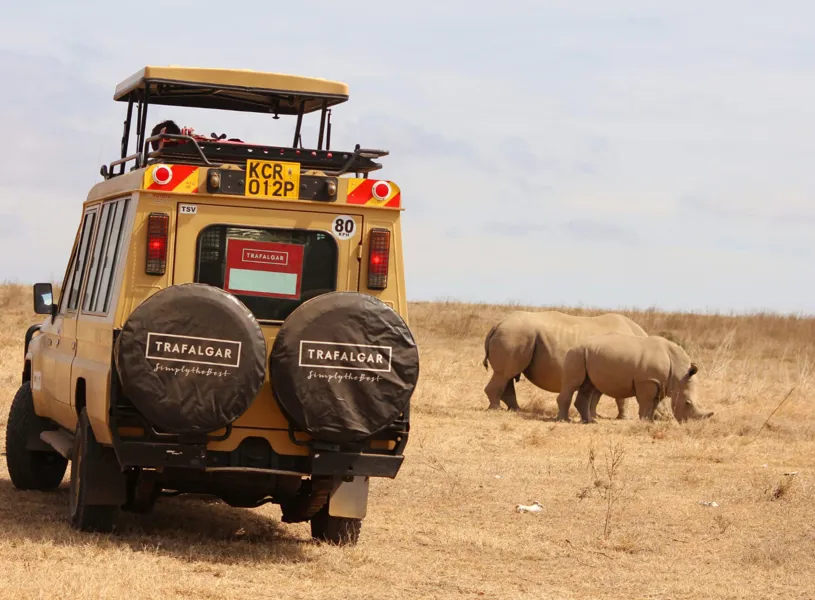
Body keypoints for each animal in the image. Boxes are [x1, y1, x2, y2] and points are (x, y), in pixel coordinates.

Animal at [482, 310, 652, 420]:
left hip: (514, 335)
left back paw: (515, 410)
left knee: (508, 375)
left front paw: (595, 416)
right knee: (504, 374)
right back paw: (496, 409)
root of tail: (497, 324)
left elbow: (595, 396)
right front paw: (625, 419)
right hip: (514, 335)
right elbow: (620, 397)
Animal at [558, 333, 714, 423]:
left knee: (588, 386)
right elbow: (646, 402)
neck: (679, 373)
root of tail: (572, 347)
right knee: (572, 385)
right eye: (687, 403)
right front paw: (644, 421)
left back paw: (590, 422)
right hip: (577, 354)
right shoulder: (647, 380)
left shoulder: (660, 383)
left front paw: (650, 422)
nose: (692, 424)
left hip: (586, 355)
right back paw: (564, 420)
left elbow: (654, 404)